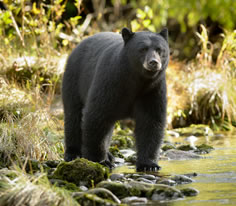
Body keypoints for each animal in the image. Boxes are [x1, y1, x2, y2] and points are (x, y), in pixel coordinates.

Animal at [62, 27, 170, 172]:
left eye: (159, 49)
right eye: (142, 49)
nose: (154, 62)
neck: (137, 80)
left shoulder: (152, 90)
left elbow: (151, 121)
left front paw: (149, 165)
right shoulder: (110, 82)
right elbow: (97, 115)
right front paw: (100, 161)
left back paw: (109, 155)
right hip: (74, 79)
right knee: (73, 114)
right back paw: (73, 153)